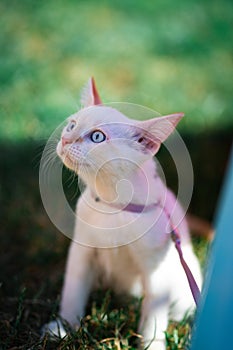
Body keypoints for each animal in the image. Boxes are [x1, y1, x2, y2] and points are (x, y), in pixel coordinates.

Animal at [43, 78, 202, 348]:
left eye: (97, 137)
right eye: (72, 125)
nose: (66, 140)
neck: (112, 205)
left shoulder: (156, 268)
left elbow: (154, 314)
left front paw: (152, 344)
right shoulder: (82, 251)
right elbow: (73, 292)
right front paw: (65, 328)